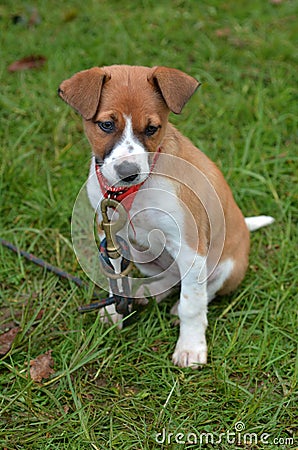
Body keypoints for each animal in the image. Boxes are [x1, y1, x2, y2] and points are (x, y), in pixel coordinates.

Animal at [58, 67, 274, 370]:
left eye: (152, 128)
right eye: (106, 125)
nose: (128, 172)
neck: (134, 190)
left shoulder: (190, 246)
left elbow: (192, 304)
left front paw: (191, 347)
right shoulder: (110, 238)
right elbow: (114, 280)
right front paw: (113, 313)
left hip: (229, 267)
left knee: (203, 290)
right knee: (170, 279)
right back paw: (148, 291)